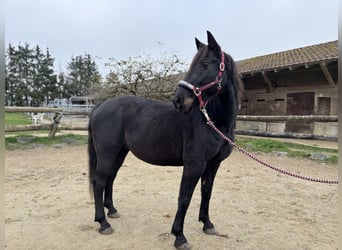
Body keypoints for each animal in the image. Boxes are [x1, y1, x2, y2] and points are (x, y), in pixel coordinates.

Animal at [88, 31, 243, 250]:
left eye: (205, 63)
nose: (178, 100)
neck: (212, 120)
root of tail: (100, 106)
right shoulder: (194, 165)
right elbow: (184, 198)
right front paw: (179, 236)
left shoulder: (213, 165)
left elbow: (206, 193)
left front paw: (207, 224)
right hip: (107, 154)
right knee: (99, 181)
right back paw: (103, 223)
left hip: (119, 153)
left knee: (110, 178)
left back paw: (112, 211)